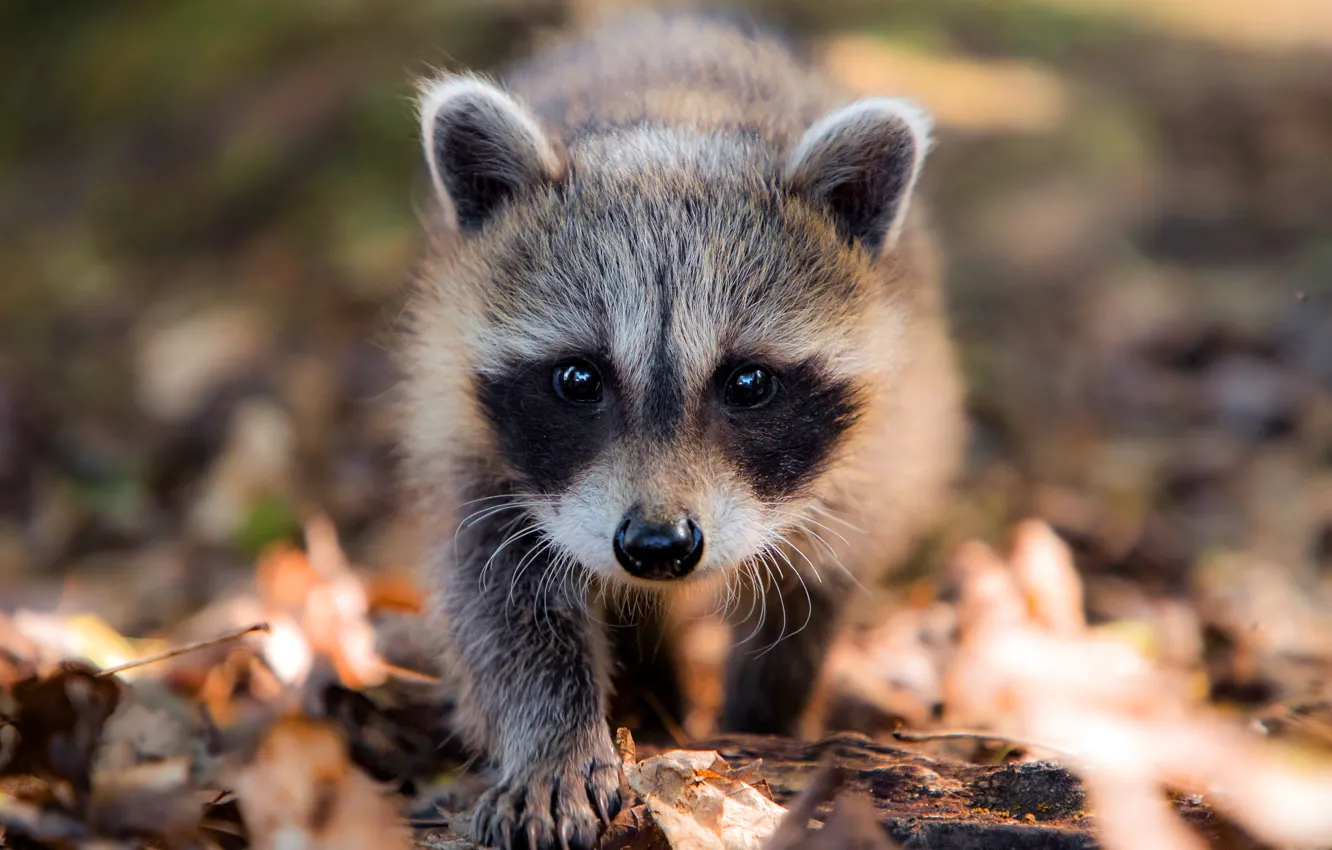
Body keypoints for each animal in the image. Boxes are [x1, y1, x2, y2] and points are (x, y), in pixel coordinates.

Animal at [399, 12, 965, 849]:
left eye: (749, 383)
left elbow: (808, 597)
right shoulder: (469, 434)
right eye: (578, 379)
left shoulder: (877, 450)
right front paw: (553, 740)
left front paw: (763, 723)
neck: (675, 119)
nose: (657, 548)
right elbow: (497, 598)